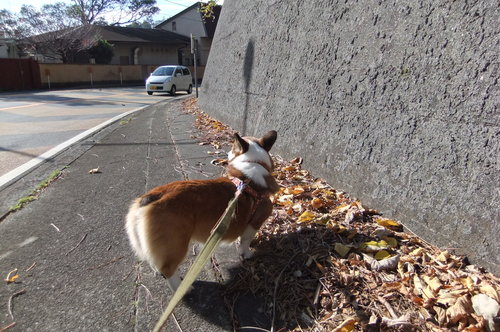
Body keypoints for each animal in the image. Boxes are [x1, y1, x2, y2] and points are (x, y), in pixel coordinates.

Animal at [125, 130, 280, 290]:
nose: (227, 153)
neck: (253, 163)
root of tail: (149, 198)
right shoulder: (254, 223)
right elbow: (245, 241)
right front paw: (247, 254)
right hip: (177, 244)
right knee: (168, 269)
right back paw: (182, 288)